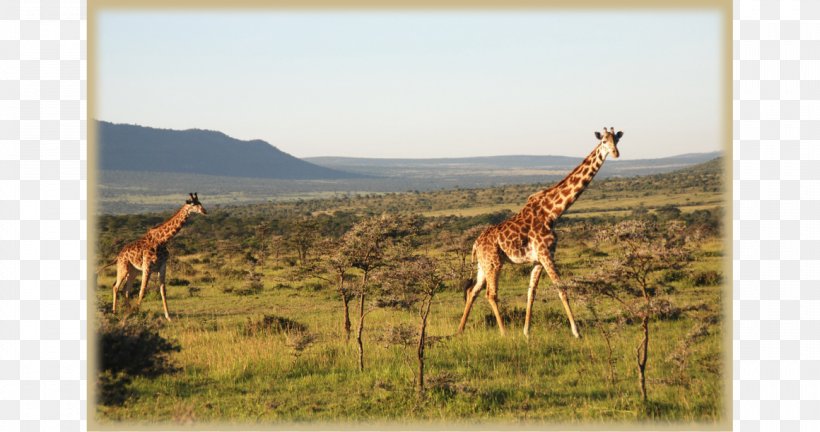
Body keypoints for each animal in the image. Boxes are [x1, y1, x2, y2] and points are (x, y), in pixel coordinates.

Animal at [109, 192, 207, 320]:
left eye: (200, 203)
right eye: (193, 205)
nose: (205, 211)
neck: (162, 241)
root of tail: (119, 255)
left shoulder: (162, 266)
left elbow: (163, 291)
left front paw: (168, 317)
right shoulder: (147, 266)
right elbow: (142, 291)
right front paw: (138, 313)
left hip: (134, 271)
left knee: (126, 289)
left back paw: (128, 311)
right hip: (123, 268)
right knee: (116, 287)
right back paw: (115, 312)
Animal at [458, 127, 624, 338]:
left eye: (617, 140)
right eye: (603, 141)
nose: (616, 153)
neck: (552, 212)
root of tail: (475, 244)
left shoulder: (539, 259)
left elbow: (531, 293)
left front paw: (526, 332)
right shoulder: (546, 254)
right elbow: (562, 289)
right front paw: (576, 332)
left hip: (483, 264)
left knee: (473, 291)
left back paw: (460, 329)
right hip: (494, 262)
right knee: (491, 294)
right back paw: (504, 332)